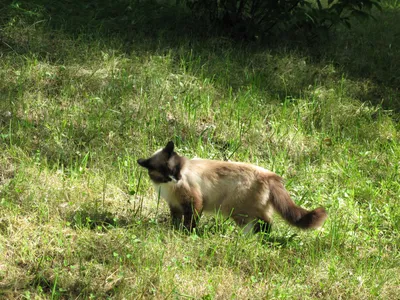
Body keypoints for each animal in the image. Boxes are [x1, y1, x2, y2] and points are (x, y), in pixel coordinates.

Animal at [138, 142, 328, 233]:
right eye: (165, 173)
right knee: (267, 224)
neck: (168, 188)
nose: (176, 178)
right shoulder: (175, 205)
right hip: (254, 208)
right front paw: (174, 231)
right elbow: (175, 221)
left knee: (258, 225)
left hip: (235, 209)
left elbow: (190, 222)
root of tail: (269, 174)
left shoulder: (193, 202)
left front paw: (186, 234)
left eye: (176, 169)